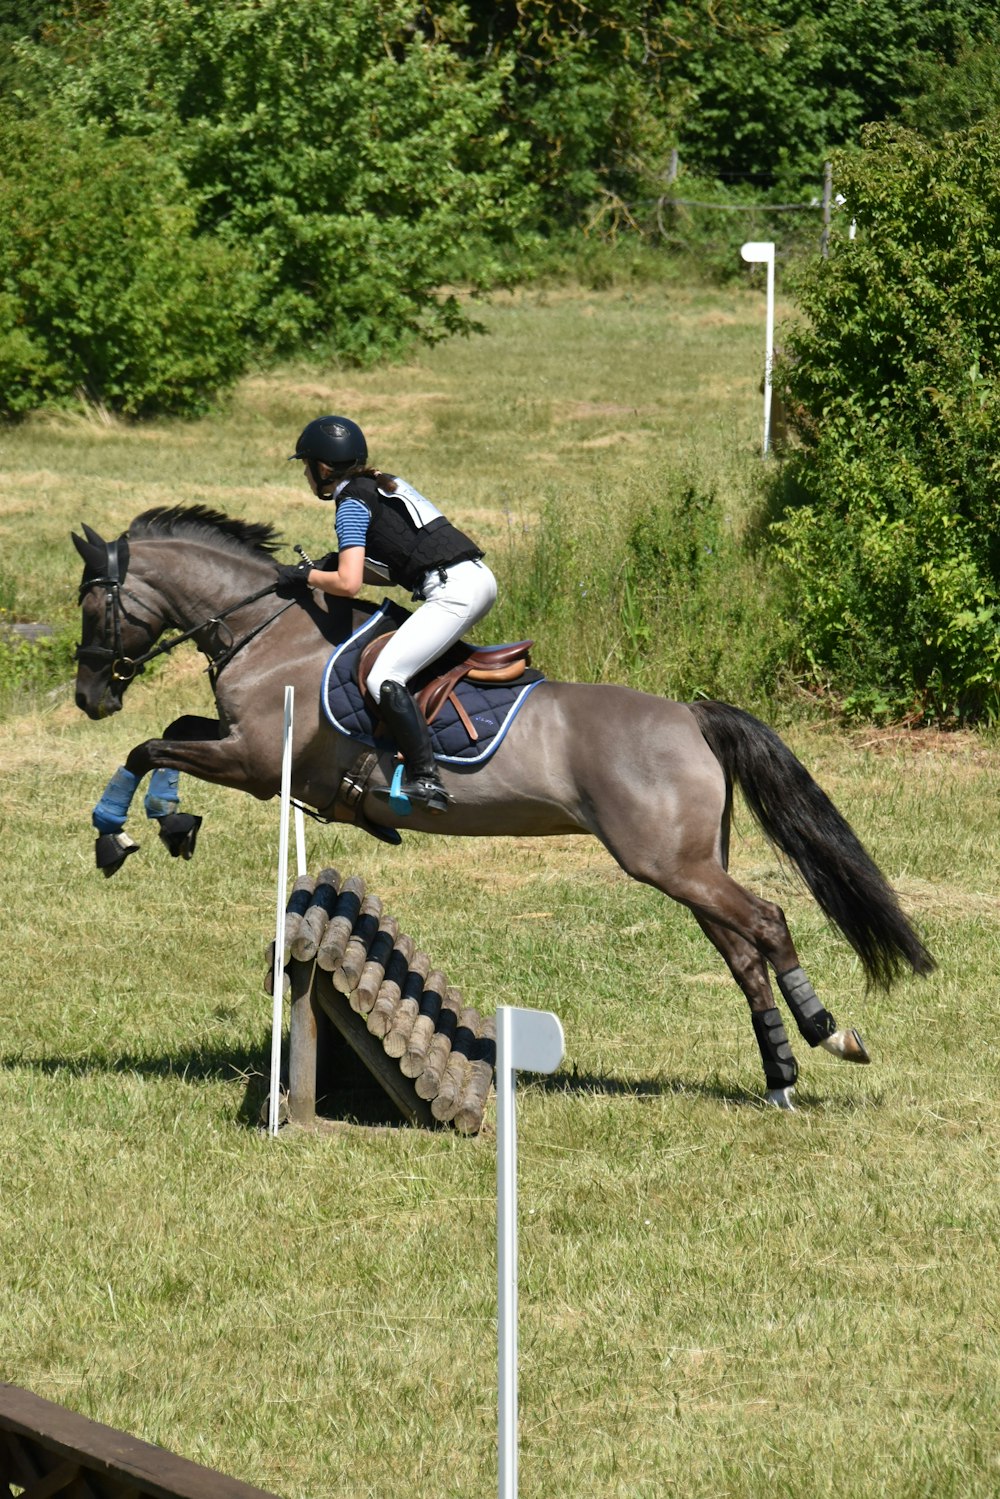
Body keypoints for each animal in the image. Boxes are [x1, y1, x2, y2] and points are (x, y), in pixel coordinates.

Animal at [72, 503, 941, 1103]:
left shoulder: (257, 760)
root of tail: (690, 714)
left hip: (667, 861)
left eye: (90, 607)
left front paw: (125, 833)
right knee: (741, 950)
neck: (268, 628)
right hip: (688, 863)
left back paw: (829, 1036)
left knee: (767, 922)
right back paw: (780, 1074)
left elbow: (149, 746)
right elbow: (168, 735)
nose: (87, 697)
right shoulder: (245, 751)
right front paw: (170, 821)